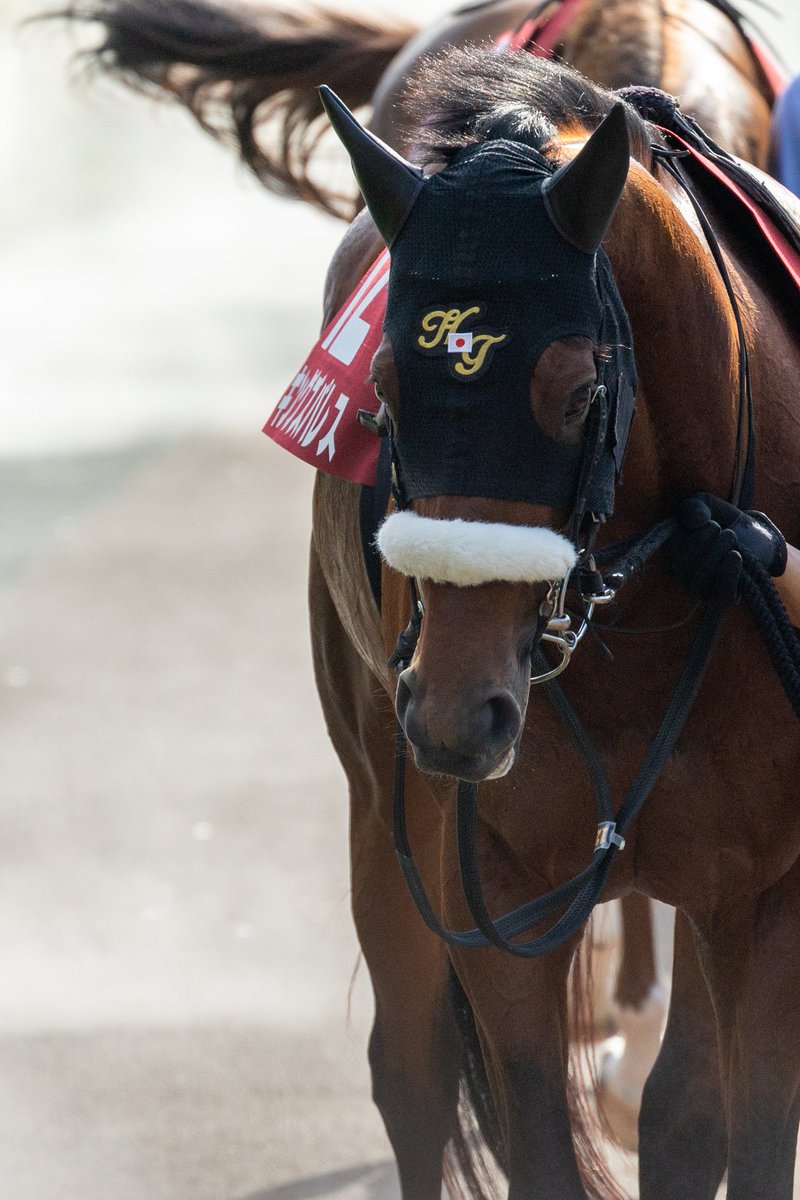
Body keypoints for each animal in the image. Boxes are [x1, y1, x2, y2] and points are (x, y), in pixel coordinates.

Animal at [310, 45, 800, 1200]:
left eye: (578, 396)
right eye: (385, 390)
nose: (454, 715)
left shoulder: (764, 895)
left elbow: (742, 1128)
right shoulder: (497, 888)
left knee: (683, 1109)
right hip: (379, 792)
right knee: (411, 1069)